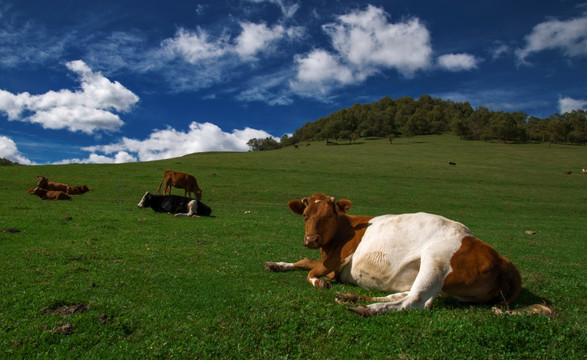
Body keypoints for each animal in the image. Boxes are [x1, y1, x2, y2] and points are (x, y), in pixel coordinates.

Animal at [264, 194, 520, 316]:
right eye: (305, 215)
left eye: (328, 215)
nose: (311, 240)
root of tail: (503, 259)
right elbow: (304, 261)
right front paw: (277, 264)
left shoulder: (336, 260)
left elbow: (312, 271)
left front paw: (319, 282)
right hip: (449, 288)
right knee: (406, 295)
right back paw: (350, 297)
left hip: (435, 261)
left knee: (414, 301)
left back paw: (367, 308)